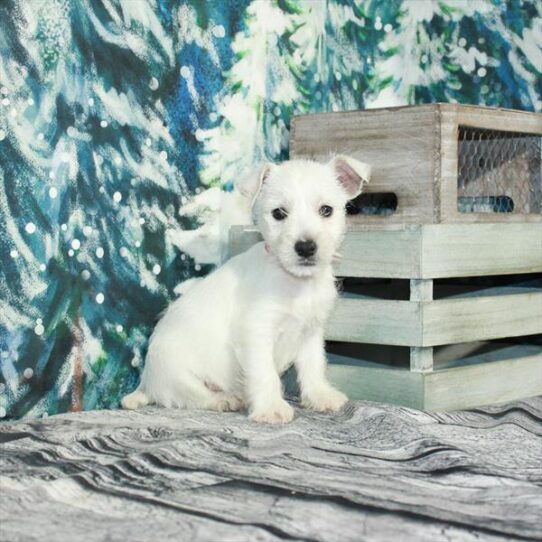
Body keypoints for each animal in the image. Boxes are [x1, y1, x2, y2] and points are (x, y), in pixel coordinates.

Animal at [121, 157, 372, 424]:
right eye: (279, 213)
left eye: (326, 210)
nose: (305, 247)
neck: (296, 283)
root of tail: (145, 382)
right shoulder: (257, 334)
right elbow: (265, 374)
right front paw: (271, 407)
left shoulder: (311, 333)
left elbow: (313, 367)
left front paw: (320, 396)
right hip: (177, 374)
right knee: (192, 396)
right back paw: (224, 399)